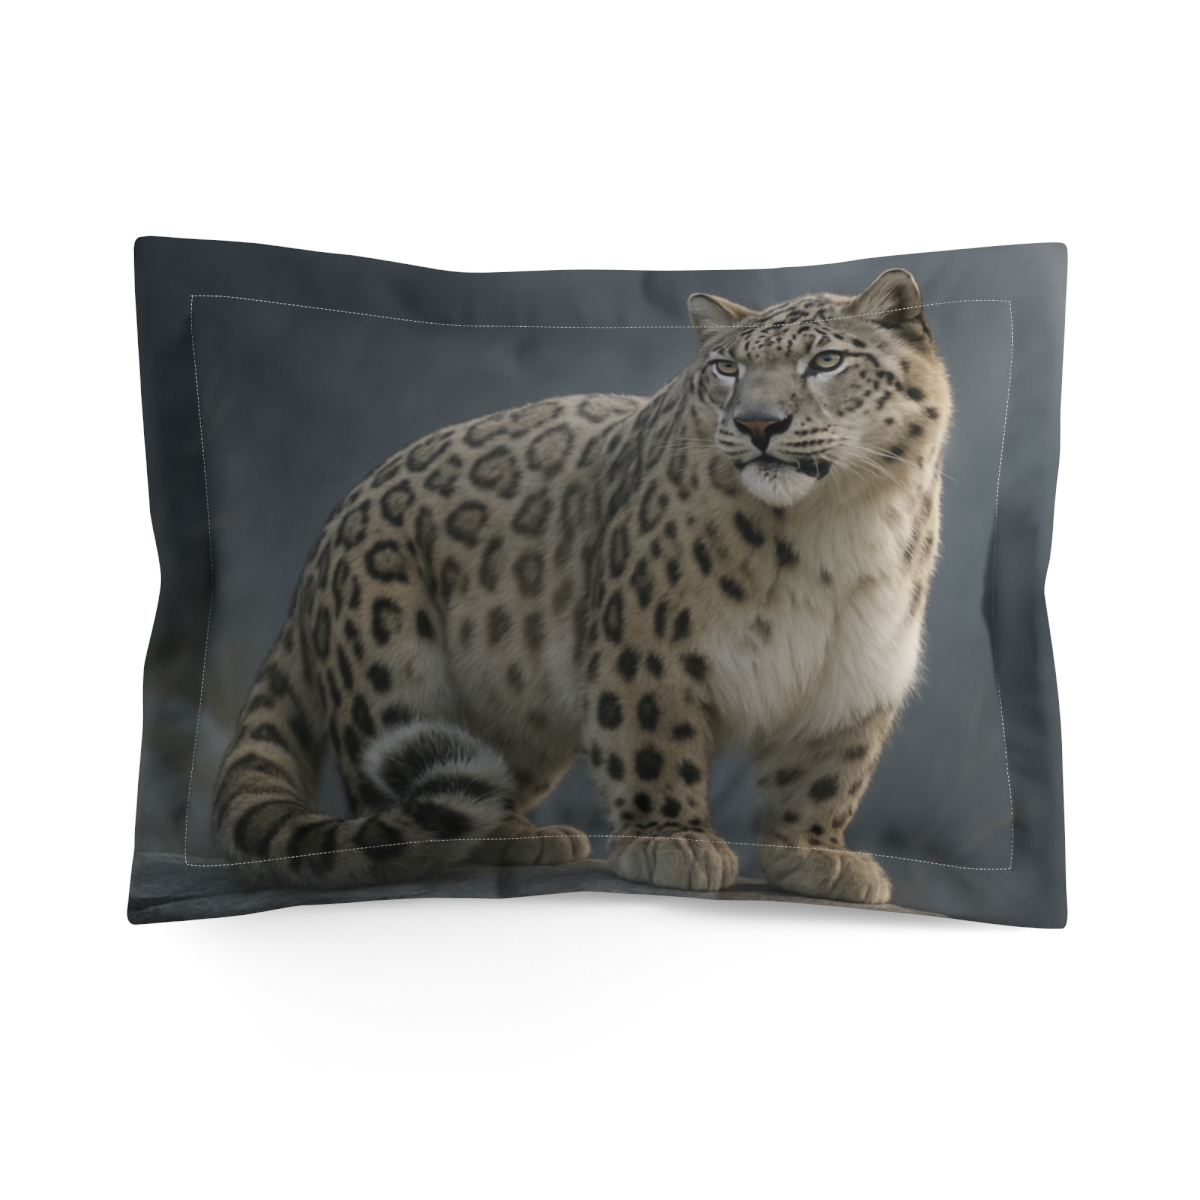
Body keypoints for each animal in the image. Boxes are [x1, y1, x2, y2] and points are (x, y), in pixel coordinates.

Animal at [212, 268, 952, 905]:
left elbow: (826, 774)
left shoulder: (855, 669)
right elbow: (652, 743)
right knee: (391, 803)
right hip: (390, 670)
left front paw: (817, 855)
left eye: (825, 361)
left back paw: (522, 836)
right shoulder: (649, 644)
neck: (836, 531)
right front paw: (673, 843)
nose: (757, 424)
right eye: (727, 369)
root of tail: (322, 541)